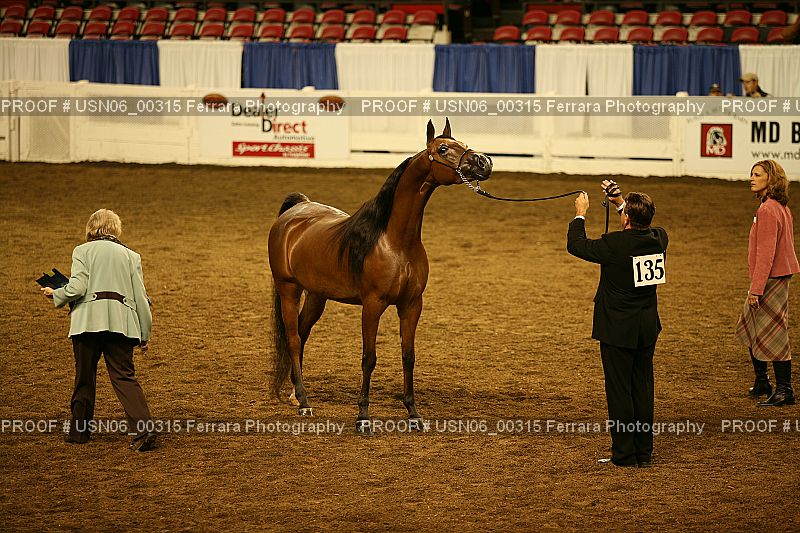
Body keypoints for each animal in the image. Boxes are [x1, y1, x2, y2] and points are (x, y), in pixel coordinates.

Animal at [268, 119, 493, 430]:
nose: (483, 162)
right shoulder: (372, 305)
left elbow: (408, 356)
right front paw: (363, 415)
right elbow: (369, 357)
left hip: (316, 295)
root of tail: (296, 210)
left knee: (301, 334)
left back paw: (294, 393)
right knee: (292, 338)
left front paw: (413, 413)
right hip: (288, 289)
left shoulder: (412, 304)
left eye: (463, 143)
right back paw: (303, 402)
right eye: (443, 149)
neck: (396, 242)